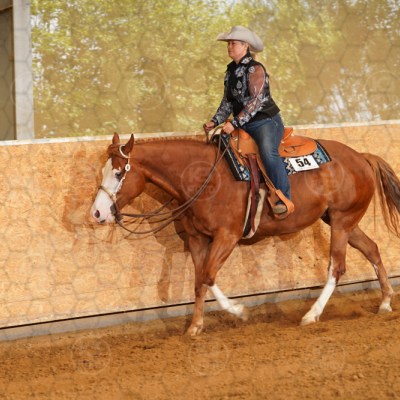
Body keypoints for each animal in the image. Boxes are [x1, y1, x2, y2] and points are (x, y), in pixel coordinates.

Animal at [91, 132, 400, 335]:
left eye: (118, 173)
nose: (97, 213)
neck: (204, 179)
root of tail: (361, 157)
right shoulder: (197, 239)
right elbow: (198, 282)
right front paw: (195, 327)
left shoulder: (226, 237)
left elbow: (209, 276)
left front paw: (239, 311)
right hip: (343, 221)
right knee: (372, 249)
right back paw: (385, 301)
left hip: (341, 221)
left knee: (337, 266)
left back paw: (311, 315)